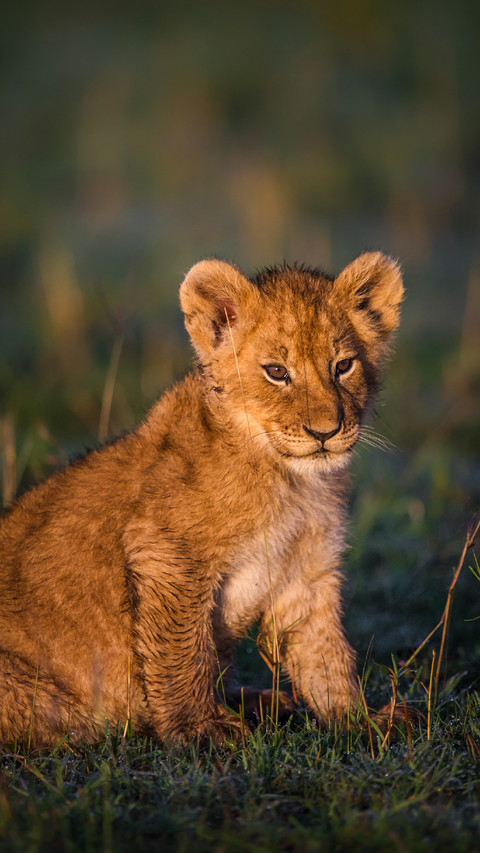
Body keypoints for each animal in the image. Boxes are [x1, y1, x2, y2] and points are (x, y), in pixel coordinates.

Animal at [0, 252, 403, 746]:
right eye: (277, 372)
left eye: (343, 366)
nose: (325, 433)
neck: (289, 480)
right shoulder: (167, 552)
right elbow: (183, 650)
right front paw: (202, 730)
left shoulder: (308, 569)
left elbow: (324, 653)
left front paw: (361, 722)